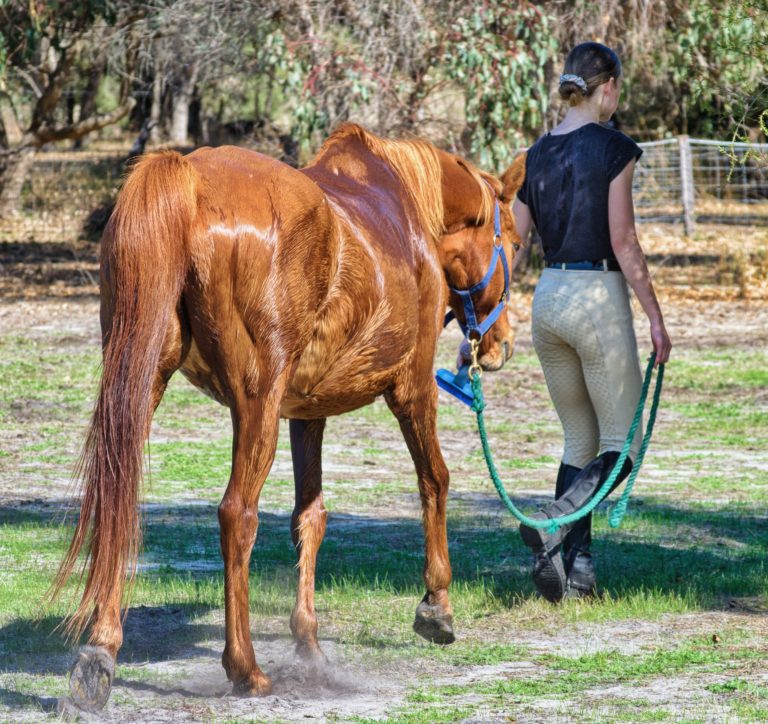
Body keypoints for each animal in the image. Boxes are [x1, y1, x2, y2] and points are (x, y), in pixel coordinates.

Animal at [52, 123, 520, 708]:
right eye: (515, 244)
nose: (502, 346)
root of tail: (189, 180)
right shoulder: (412, 389)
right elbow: (434, 480)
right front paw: (436, 606)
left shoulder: (306, 413)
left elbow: (310, 518)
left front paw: (310, 647)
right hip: (256, 405)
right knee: (237, 515)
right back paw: (245, 668)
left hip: (141, 381)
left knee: (119, 496)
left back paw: (101, 652)